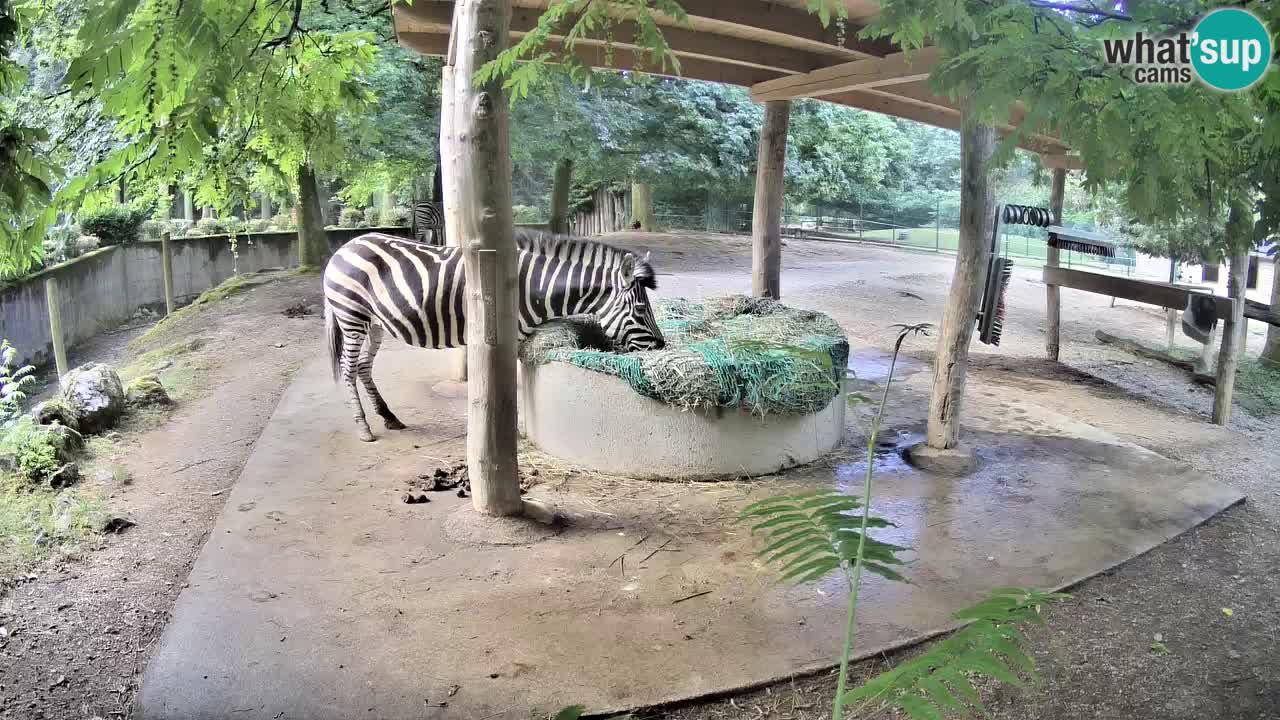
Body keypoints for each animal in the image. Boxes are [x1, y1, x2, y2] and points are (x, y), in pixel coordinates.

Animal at [322, 228, 666, 441]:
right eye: (639, 310)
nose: (661, 346)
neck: (531, 287)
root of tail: (344, 247)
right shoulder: (502, 336)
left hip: (375, 323)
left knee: (363, 367)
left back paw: (389, 416)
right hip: (351, 316)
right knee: (349, 369)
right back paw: (364, 428)